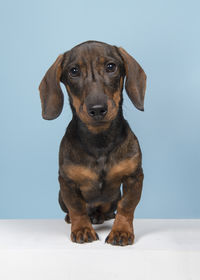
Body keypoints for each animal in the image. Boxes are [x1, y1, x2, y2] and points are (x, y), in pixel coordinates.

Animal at [38, 40, 147, 246]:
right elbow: (77, 207)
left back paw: (102, 216)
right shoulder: (67, 183)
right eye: (73, 71)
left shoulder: (134, 177)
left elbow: (127, 206)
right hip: (60, 197)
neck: (99, 141)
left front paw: (121, 231)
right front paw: (82, 229)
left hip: (113, 198)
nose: (97, 109)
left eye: (111, 67)